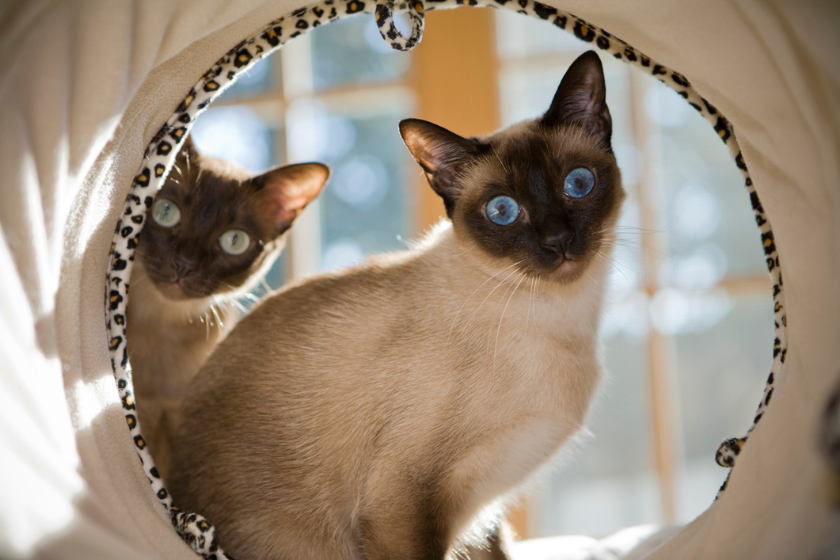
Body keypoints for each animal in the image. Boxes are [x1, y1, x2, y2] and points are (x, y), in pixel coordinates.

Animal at [169, 50, 624, 556]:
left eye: (578, 184)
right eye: (503, 211)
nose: (558, 241)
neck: (560, 316)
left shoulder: (482, 514)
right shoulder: (403, 502)